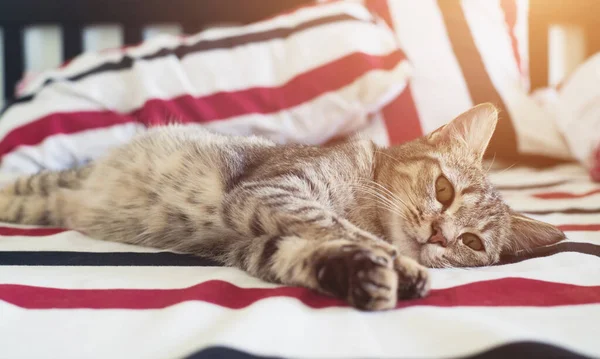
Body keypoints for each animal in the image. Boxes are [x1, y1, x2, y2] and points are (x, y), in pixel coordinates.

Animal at [0, 102, 564, 310]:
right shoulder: (274, 192)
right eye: (444, 190)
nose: (440, 236)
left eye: (471, 243)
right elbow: (339, 225)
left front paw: (363, 276)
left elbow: (306, 256)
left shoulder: (255, 244)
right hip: (46, 186)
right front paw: (399, 265)